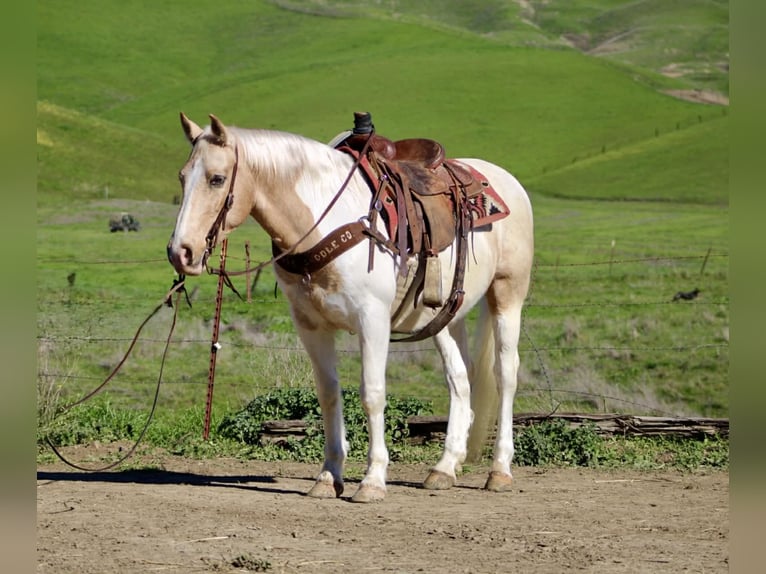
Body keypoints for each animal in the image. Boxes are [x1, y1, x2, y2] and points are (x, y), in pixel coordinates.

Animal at [167, 113, 534, 503]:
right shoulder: (310, 326)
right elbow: (328, 395)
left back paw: (500, 470)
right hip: (445, 317)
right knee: (460, 378)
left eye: (217, 179)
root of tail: (503, 179)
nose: (181, 252)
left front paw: (372, 480)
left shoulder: (372, 320)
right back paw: (445, 468)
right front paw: (329, 476)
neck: (323, 221)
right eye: (182, 176)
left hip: (507, 294)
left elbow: (372, 394)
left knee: (505, 374)